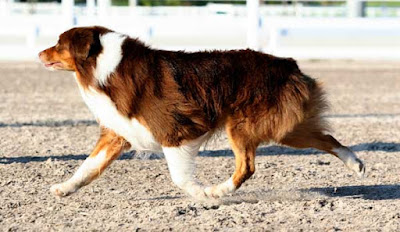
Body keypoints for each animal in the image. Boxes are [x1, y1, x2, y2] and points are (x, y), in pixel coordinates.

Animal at [38, 25, 366, 199]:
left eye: (58, 43)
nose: (39, 53)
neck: (104, 66)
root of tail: (288, 63)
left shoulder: (176, 129)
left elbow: (179, 177)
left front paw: (202, 194)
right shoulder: (118, 134)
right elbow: (87, 167)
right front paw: (64, 188)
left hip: (245, 126)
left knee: (247, 166)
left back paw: (220, 191)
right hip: (284, 128)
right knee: (327, 138)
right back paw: (356, 164)